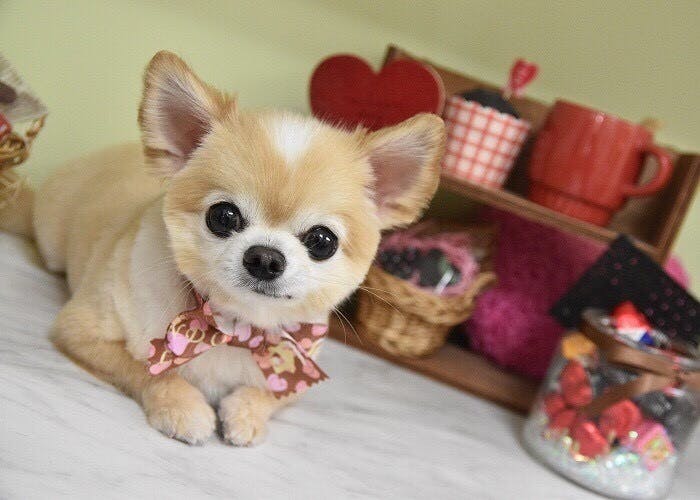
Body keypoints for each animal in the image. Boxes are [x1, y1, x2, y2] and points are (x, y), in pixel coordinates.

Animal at [0, 52, 444, 445]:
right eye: (223, 216)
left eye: (322, 241)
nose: (265, 257)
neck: (234, 328)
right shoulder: (79, 332)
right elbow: (149, 370)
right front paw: (185, 407)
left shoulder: (298, 377)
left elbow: (266, 394)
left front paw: (245, 415)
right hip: (52, 239)